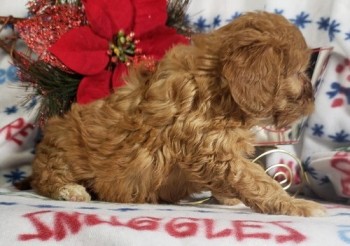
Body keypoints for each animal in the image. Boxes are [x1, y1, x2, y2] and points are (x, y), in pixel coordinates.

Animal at [29, 11, 326, 216]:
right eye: (298, 73)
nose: (312, 99)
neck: (216, 87)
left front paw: (227, 197)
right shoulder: (211, 149)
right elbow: (255, 178)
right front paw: (295, 205)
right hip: (62, 148)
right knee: (46, 180)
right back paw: (71, 190)